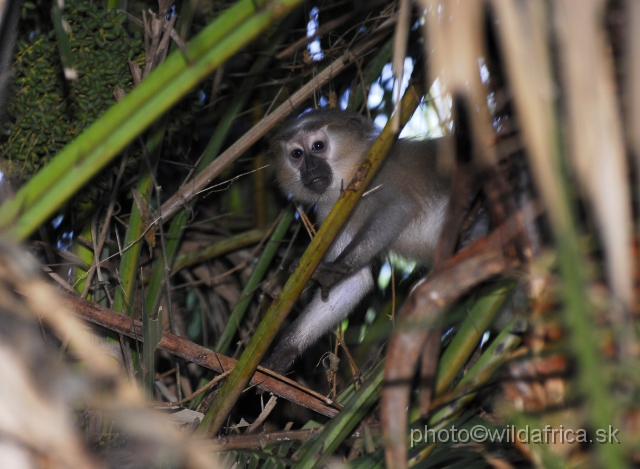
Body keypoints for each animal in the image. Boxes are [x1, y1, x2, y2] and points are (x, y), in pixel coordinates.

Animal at [264, 107, 450, 372]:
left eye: (318, 146)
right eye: (297, 154)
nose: (310, 169)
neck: (353, 173)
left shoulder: (381, 174)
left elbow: (398, 208)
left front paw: (329, 272)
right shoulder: (332, 213)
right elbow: (354, 282)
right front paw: (284, 351)